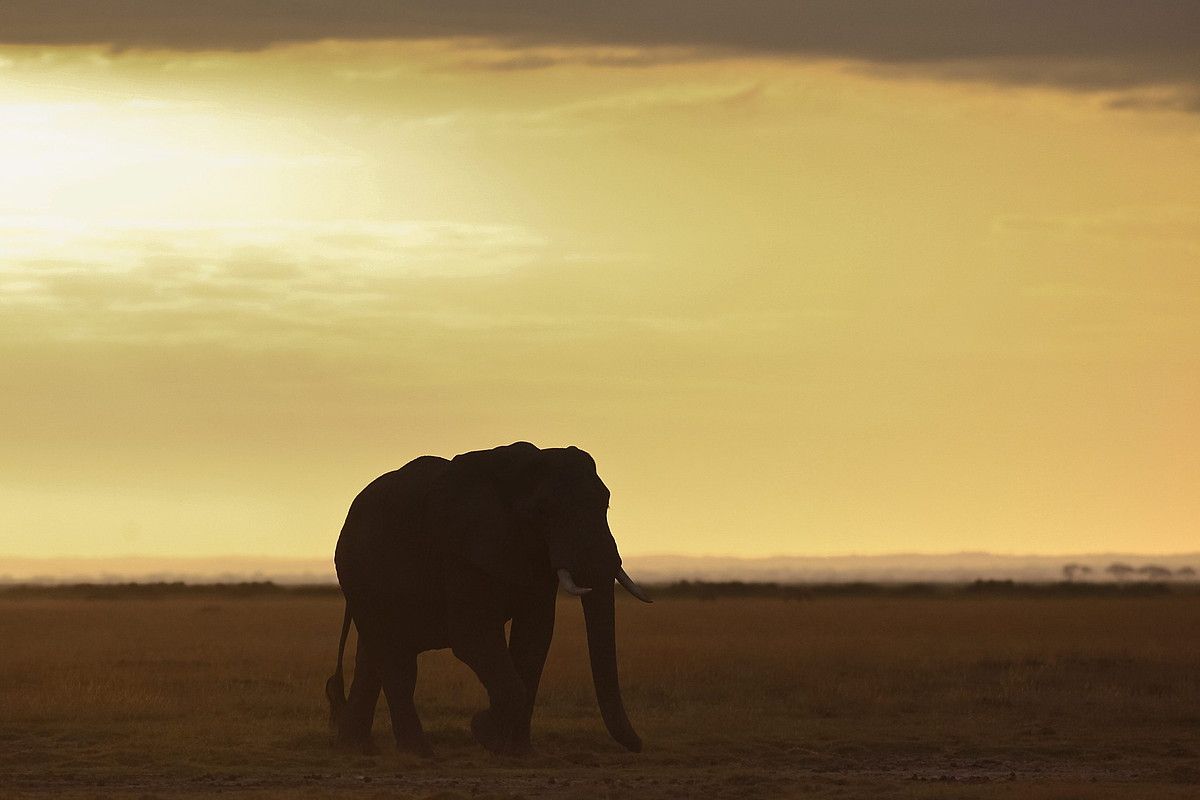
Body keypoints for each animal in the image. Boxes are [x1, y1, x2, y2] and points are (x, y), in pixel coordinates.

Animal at [324, 441, 652, 753]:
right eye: (542, 512)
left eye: (606, 504)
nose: (638, 746)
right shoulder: (460, 552)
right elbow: (472, 635)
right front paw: (483, 730)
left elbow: (535, 637)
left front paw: (516, 752)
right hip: (360, 573)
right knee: (395, 659)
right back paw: (418, 752)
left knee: (374, 656)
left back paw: (358, 748)